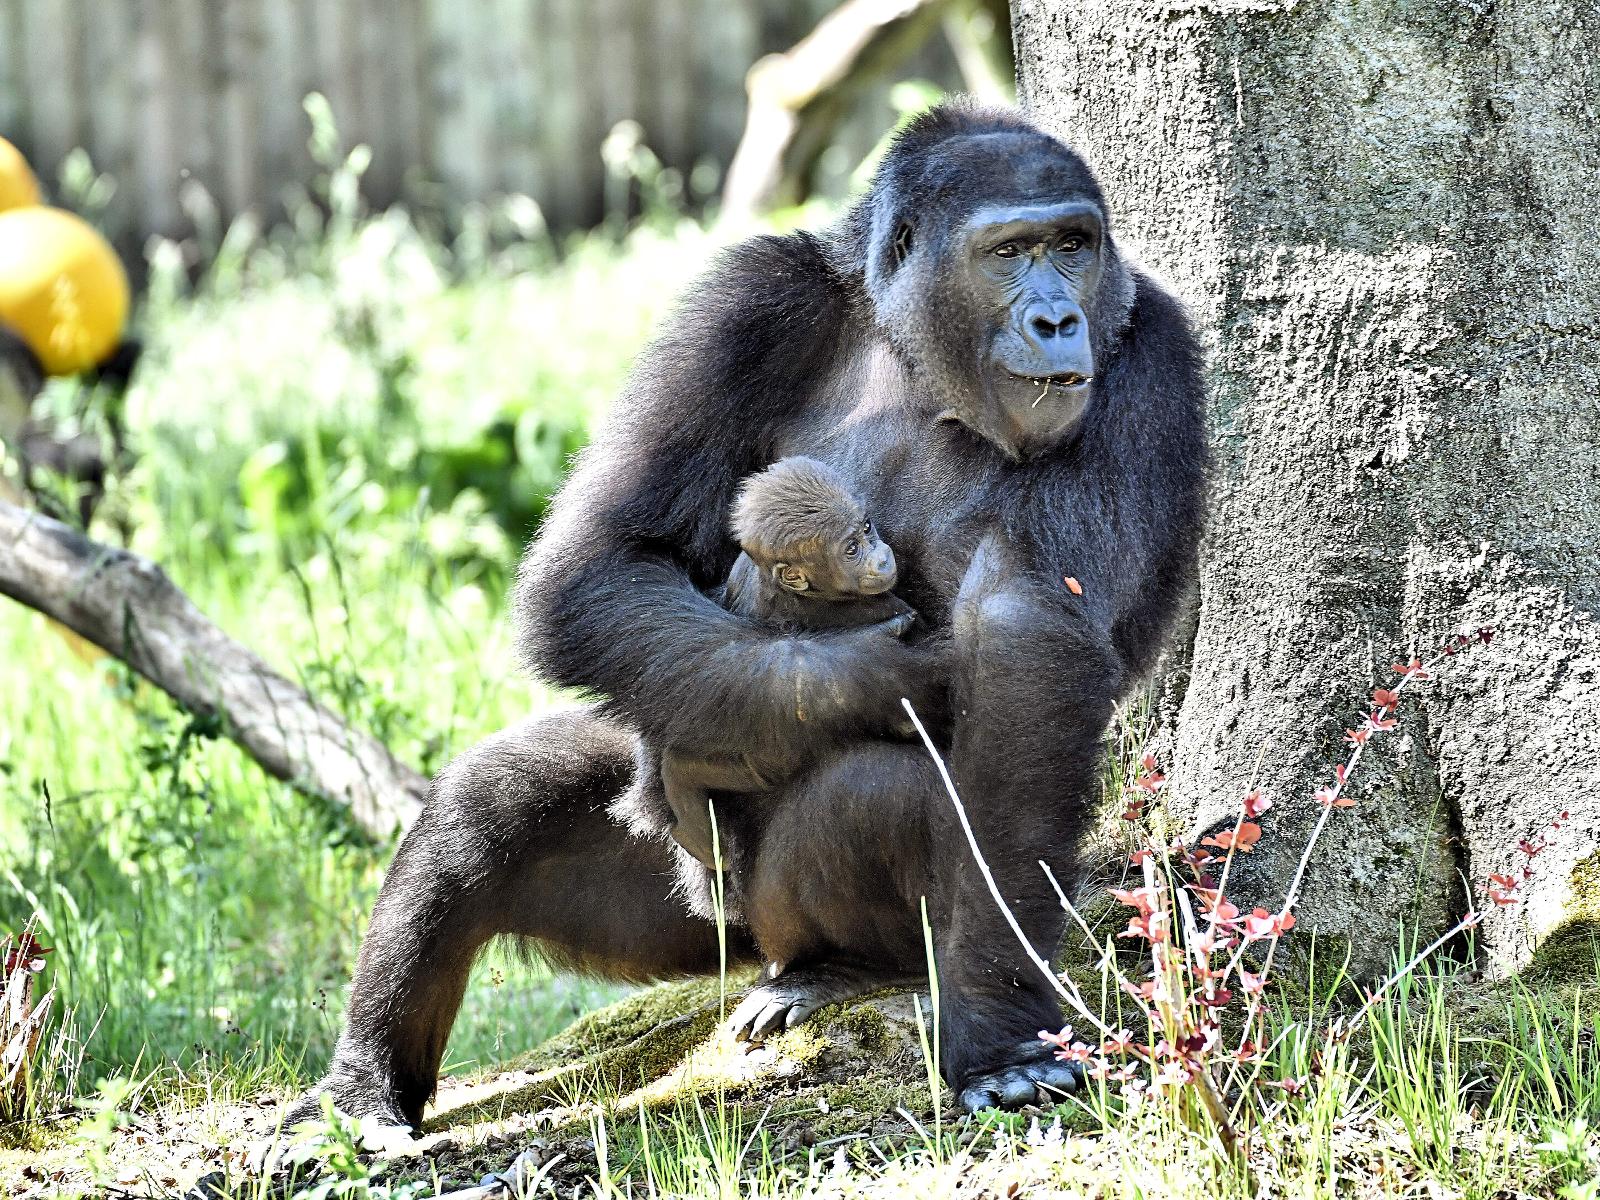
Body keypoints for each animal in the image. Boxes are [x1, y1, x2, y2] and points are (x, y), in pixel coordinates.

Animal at [633, 454, 915, 870]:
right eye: (851, 550)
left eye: (867, 528)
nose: (881, 558)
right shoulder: (866, 603)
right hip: (765, 764)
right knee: (688, 766)